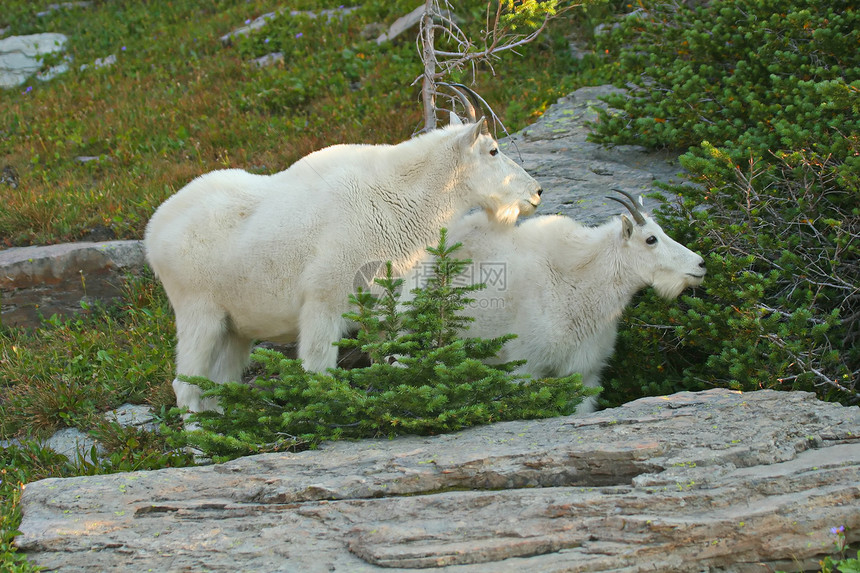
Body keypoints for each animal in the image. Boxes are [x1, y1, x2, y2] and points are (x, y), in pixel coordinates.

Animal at [144, 91, 540, 414]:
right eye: (493, 150)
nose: (536, 192)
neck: (399, 200)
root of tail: (153, 232)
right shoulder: (324, 300)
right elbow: (318, 371)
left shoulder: (386, 302)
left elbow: (394, 360)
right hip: (199, 311)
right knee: (185, 385)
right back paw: (197, 446)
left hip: (235, 328)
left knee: (219, 384)